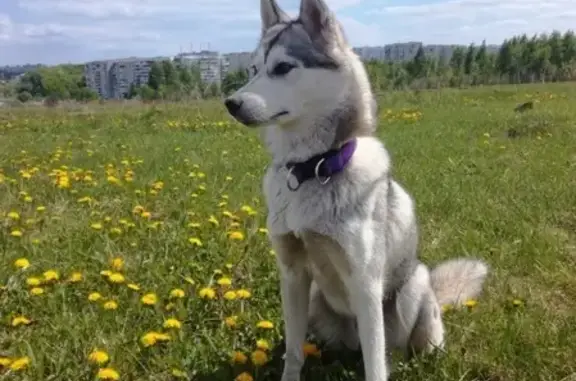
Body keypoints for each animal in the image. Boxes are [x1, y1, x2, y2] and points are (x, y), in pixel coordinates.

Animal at [223, 0, 488, 378]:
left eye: (283, 67)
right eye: (253, 69)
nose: (230, 103)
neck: (313, 168)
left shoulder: (365, 284)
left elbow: (376, 366)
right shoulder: (292, 275)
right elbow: (293, 350)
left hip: (413, 288)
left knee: (395, 349)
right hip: (317, 301)